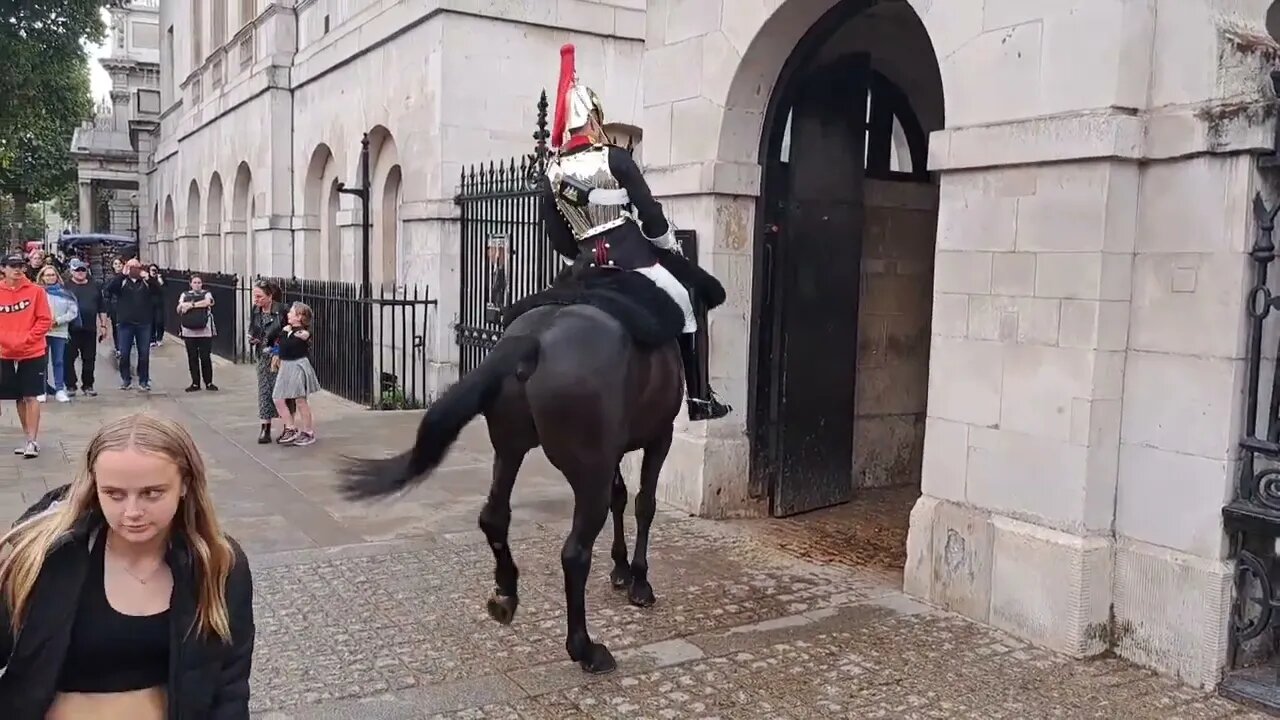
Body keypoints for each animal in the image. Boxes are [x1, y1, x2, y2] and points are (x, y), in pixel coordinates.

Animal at [335, 298, 686, 671]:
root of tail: (533, 338)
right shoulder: (660, 436)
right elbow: (644, 504)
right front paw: (639, 581)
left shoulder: (617, 449)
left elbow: (621, 498)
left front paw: (621, 569)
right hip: (589, 469)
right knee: (575, 552)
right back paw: (585, 649)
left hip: (511, 447)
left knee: (494, 517)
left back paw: (505, 593)